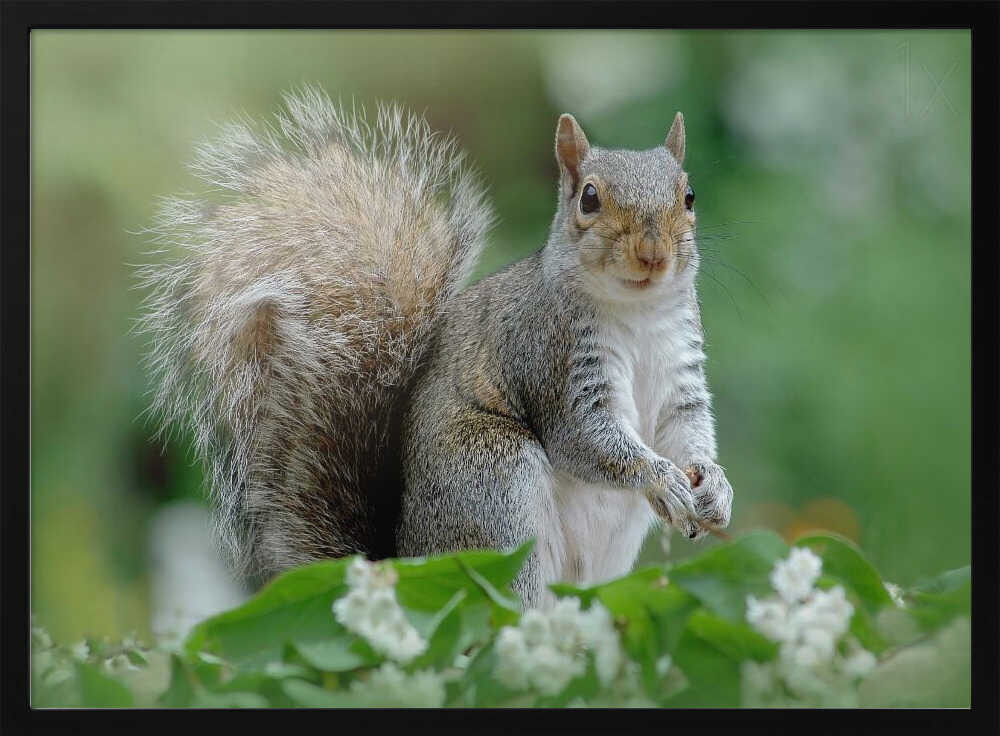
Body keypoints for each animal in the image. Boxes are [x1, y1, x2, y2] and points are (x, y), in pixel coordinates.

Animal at [138, 86, 734, 608]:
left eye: (688, 196)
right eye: (589, 197)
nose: (653, 254)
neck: (637, 315)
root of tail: (405, 563)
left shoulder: (681, 371)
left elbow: (686, 430)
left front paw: (715, 488)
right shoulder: (550, 357)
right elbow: (587, 439)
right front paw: (661, 478)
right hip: (493, 486)